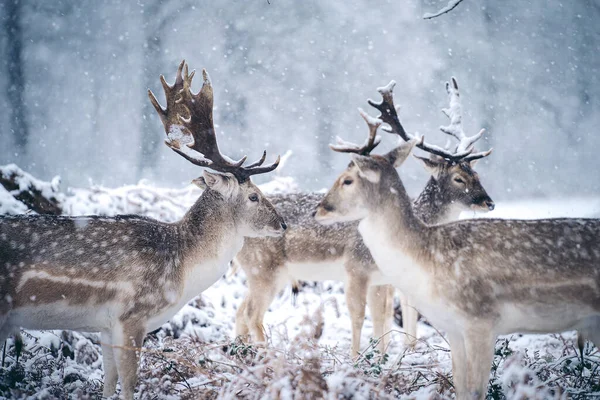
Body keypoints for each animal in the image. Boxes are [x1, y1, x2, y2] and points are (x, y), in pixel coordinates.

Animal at [0, 61, 286, 398]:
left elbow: (109, 382)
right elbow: (129, 383)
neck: (182, 270)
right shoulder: (132, 316)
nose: (282, 224)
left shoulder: (105, 326)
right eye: (253, 196)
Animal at [234, 78, 492, 356]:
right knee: (251, 313)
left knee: (240, 310)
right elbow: (366, 316)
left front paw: (392, 354)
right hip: (264, 268)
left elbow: (386, 316)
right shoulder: (358, 268)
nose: (489, 202)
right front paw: (364, 358)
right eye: (458, 178)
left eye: (477, 175)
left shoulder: (386, 278)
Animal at [312, 79, 600, 398]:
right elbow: (461, 387)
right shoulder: (454, 327)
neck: (429, 258)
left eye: (347, 180)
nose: (319, 210)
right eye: (460, 178)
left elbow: (475, 390)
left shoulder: (482, 321)